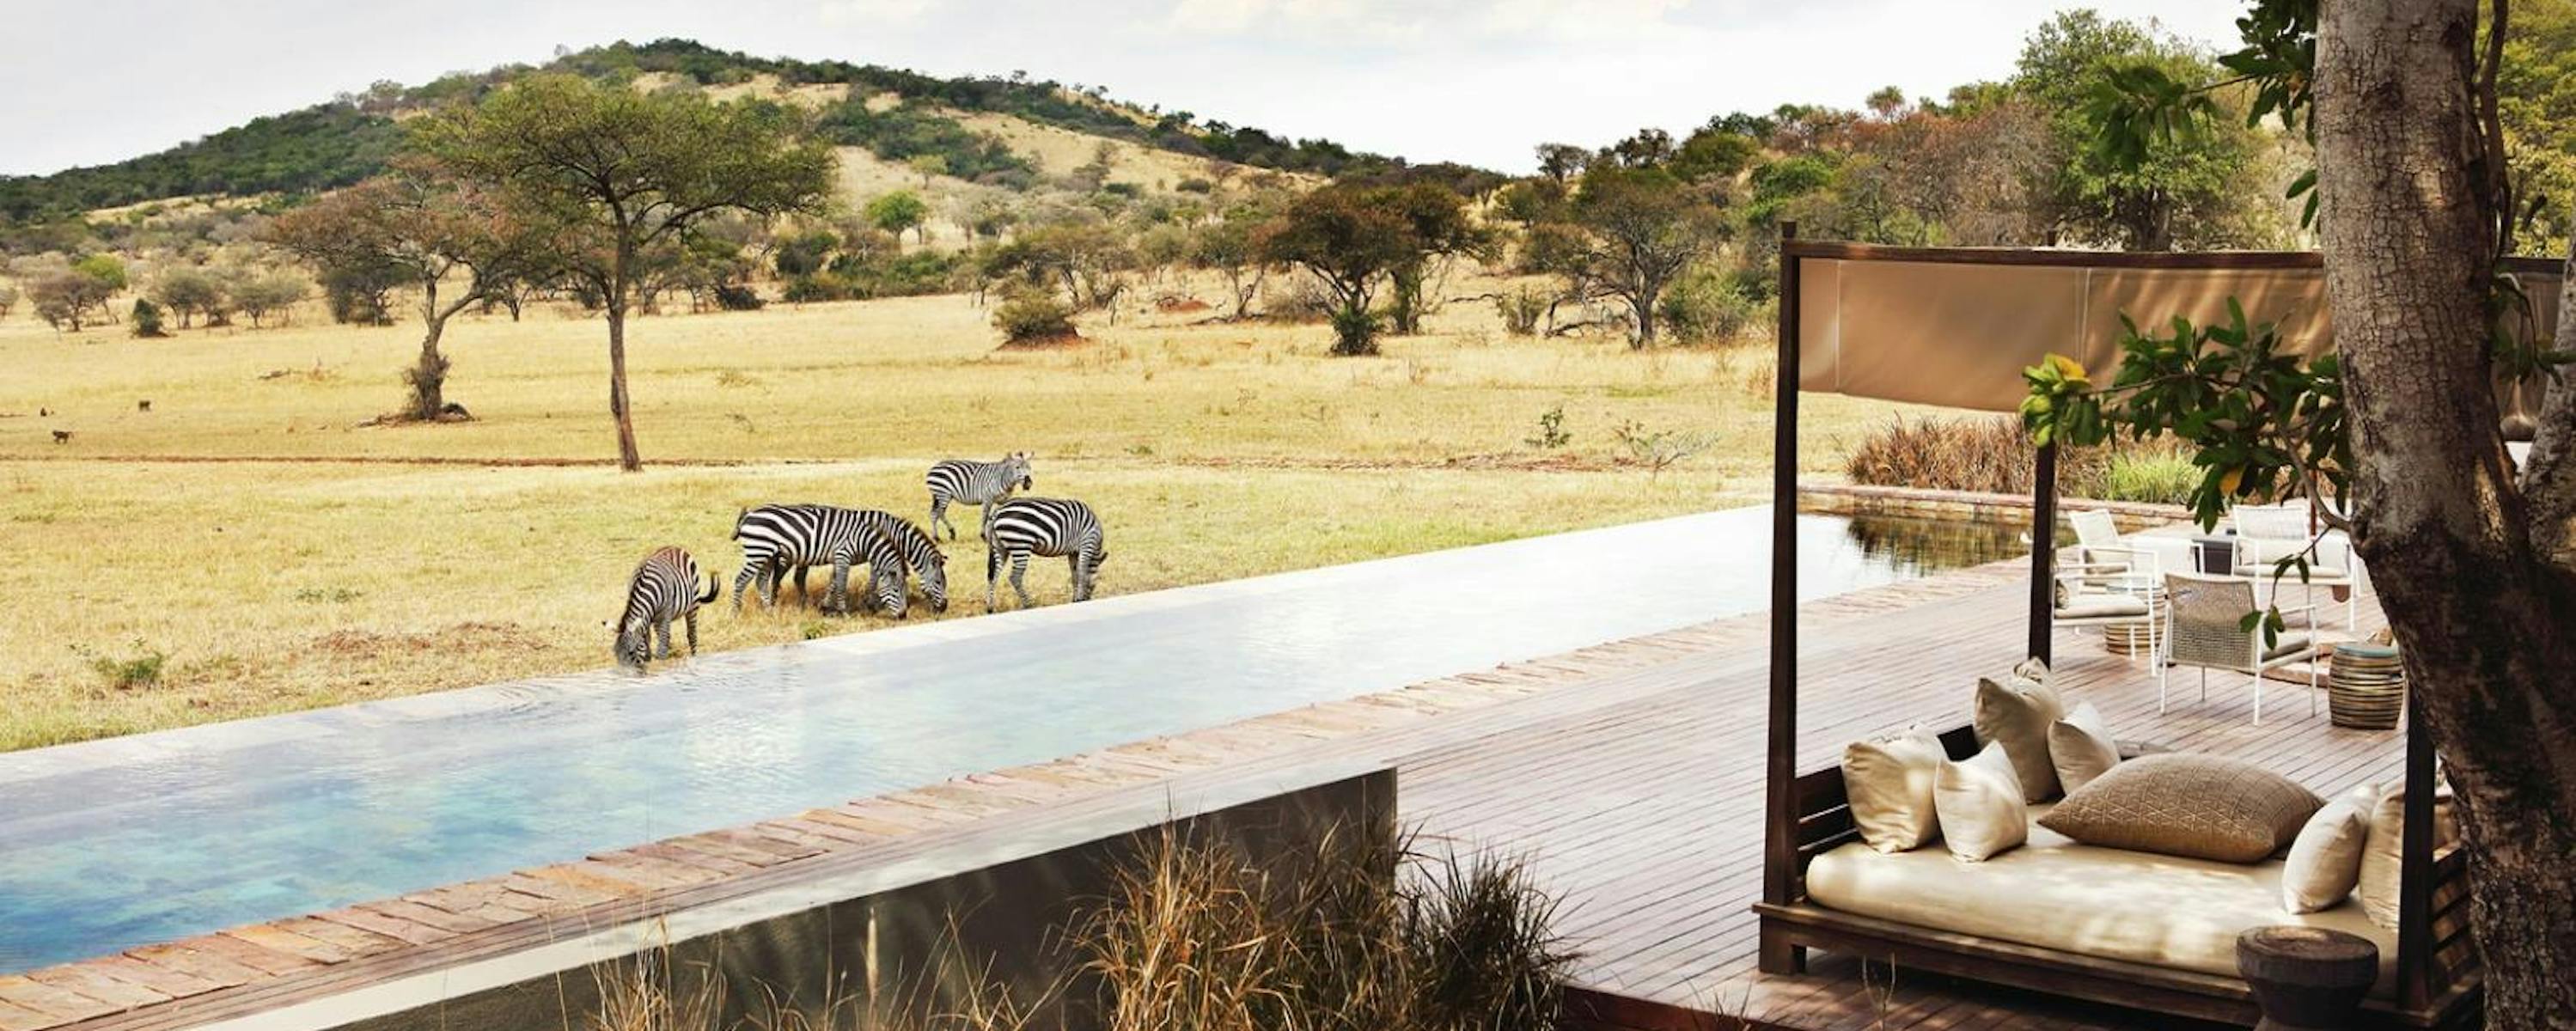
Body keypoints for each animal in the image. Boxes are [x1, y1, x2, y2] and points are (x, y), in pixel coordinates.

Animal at [615, 546, 719, 671]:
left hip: (693, 604)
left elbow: (662, 642)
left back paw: (694, 657)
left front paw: (661, 661)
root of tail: (674, 547)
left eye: (631, 652)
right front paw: (648, 660)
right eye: (615, 654)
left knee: (691, 634)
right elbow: (647, 640)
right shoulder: (647, 617)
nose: (624, 673)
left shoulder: (665, 615)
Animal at [984, 496, 1108, 611]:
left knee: (993, 576)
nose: (1088, 600)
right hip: (1021, 545)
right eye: (1095, 584)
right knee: (1015, 577)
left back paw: (990, 608)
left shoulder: (1073, 552)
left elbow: (1075, 575)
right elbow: (1082, 573)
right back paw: (1028, 604)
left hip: (999, 548)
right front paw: (1079, 599)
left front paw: (1075, 599)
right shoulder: (1087, 543)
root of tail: (998, 511)